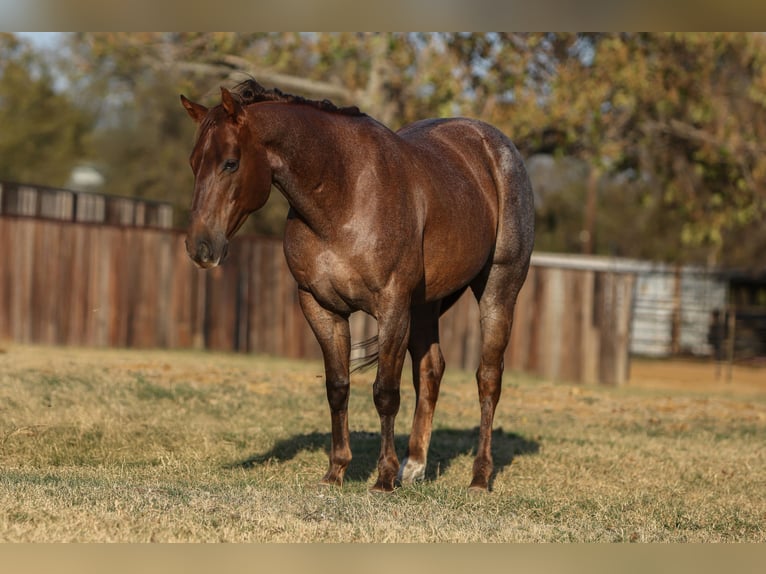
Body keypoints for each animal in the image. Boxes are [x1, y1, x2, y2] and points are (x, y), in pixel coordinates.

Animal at [180, 79, 534, 492]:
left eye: (231, 162)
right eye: (194, 163)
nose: (201, 247)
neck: (344, 194)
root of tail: (495, 144)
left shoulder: (392, 307)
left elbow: (385, 392)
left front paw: (383, 478)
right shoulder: (321, 307)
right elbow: (338, 387)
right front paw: (336, 471)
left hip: (497, 290)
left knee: (488, 379)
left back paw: (479, 476)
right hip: (424, 305)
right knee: (430, 370)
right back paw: (414, 466)